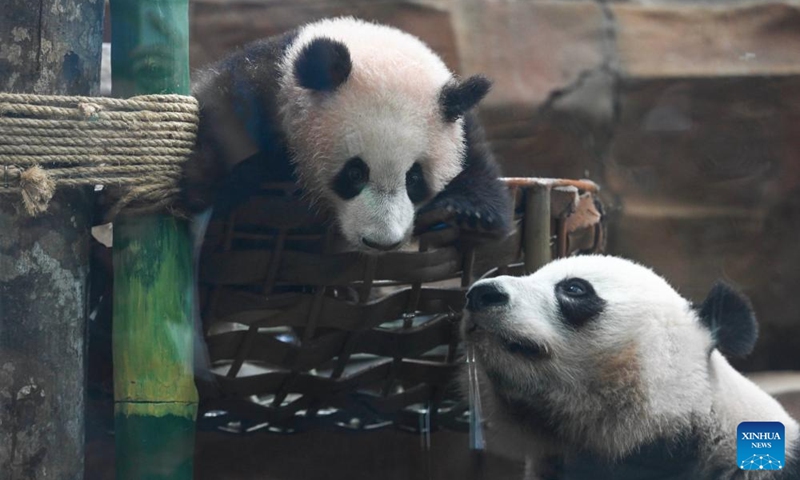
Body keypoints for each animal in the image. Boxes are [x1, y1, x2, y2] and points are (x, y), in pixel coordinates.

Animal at [181, 17, 512, 252]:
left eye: (415, 179)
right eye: (355, 173)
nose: (381, 243)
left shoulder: (464, 129)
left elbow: (479, 172)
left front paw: (469, 214)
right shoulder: (255, 91)